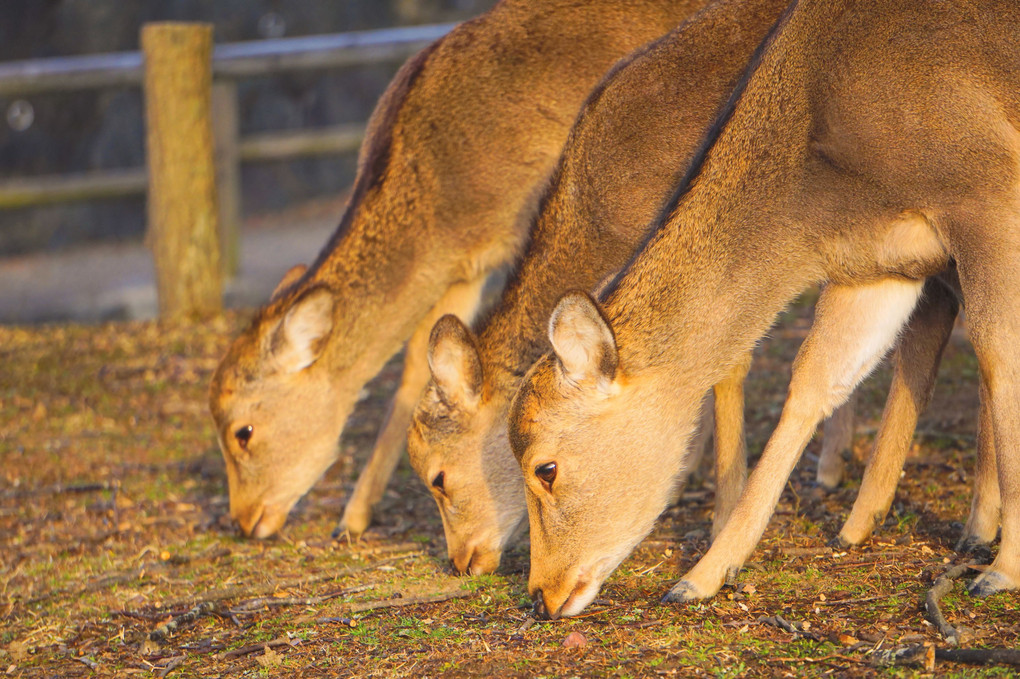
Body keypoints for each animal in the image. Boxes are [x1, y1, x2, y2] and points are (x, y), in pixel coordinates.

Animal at [510, 0, 1020, 615]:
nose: (542, 594)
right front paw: (700, 576)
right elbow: (815, 381)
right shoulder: (881, 264)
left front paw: (1003, 570)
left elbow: (1000, 356)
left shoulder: (988, 191)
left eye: (546, 468)